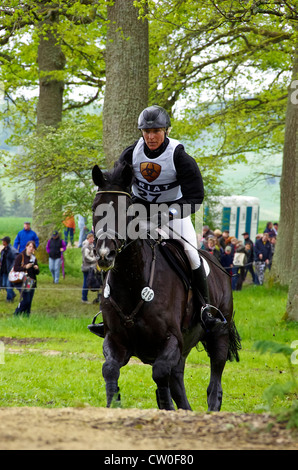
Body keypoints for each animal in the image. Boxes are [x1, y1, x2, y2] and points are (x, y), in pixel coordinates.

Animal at [90, 162, 240, 412]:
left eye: (126, 211)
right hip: (187, 342)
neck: (132, 282)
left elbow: (160, 373)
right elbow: (110, 370)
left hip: (219, 335)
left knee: (214, 384)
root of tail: (220, 266)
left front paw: (164, 406)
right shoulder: (115, 339)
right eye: (95, 208)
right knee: (178, 379)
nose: (104, 254)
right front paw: (115, 404)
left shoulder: (171, 340)